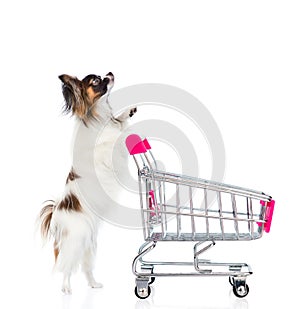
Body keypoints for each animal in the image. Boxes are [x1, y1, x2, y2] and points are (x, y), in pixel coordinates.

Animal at [38, 72, 136, 294]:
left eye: (102, 76)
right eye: (96, 81)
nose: (110, 73)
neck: (99, 116)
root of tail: (57, 213)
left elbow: (119, 123)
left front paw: (128, 113)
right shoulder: (106, 152)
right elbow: (116, 137)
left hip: (88, 245)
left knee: (85, 268)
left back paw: (93, 284)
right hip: (75, 241)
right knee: (65, 267)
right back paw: (66, 288)